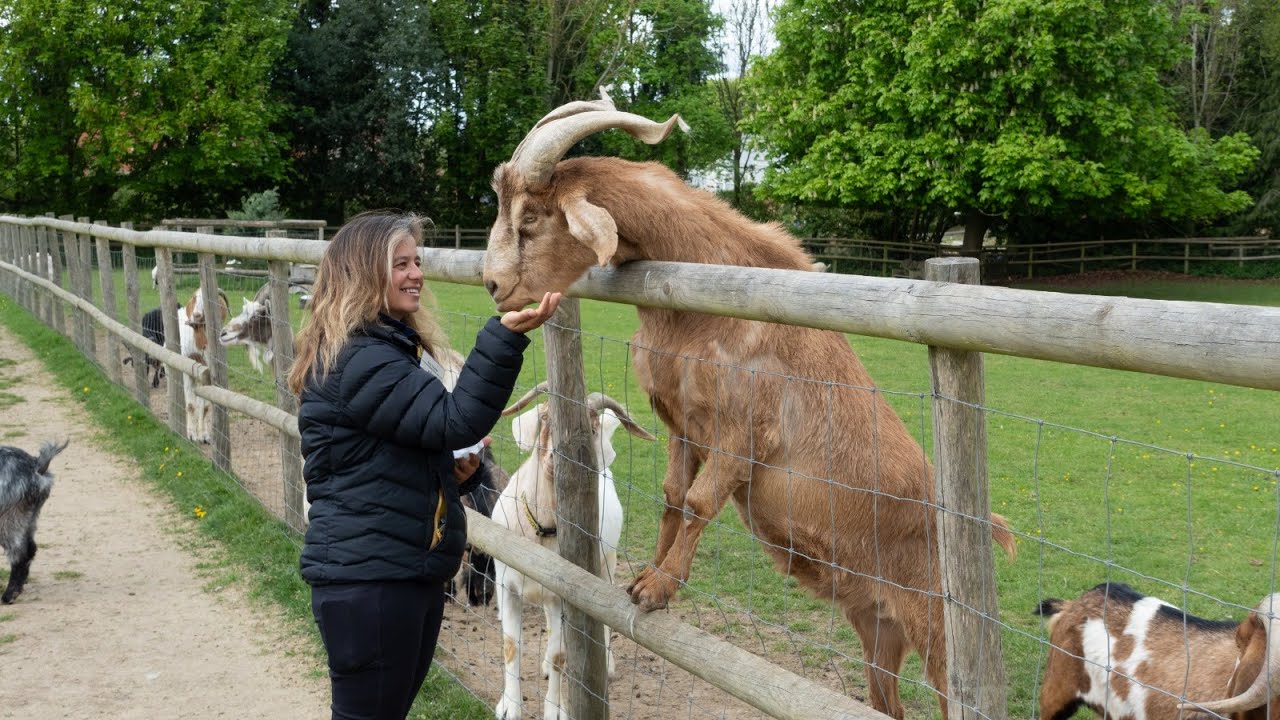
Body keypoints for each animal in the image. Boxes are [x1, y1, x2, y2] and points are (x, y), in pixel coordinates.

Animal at [0, 439, 69, 603]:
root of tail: (36, 465)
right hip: (28, 518)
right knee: (30, 548)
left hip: (8, 519)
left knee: (20, 554)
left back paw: (10, 594)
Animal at [178, 286, 229, 444]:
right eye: (194, 297)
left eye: (207, 299)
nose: (196, 315)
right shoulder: (186, 366)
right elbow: (190, 404)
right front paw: (191, 434)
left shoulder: (207, 372)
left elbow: (205, 406)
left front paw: (204, 435)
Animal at [491, 383, 655, 720]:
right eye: (544, 417)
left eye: (590, 430)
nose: (557, 459)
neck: (541, 531)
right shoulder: (506, 584)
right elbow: (511, 644)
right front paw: (509, 705)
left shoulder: (566, 596)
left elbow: (560, 655)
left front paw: (555, 710)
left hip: (605, 566)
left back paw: (607, 667)